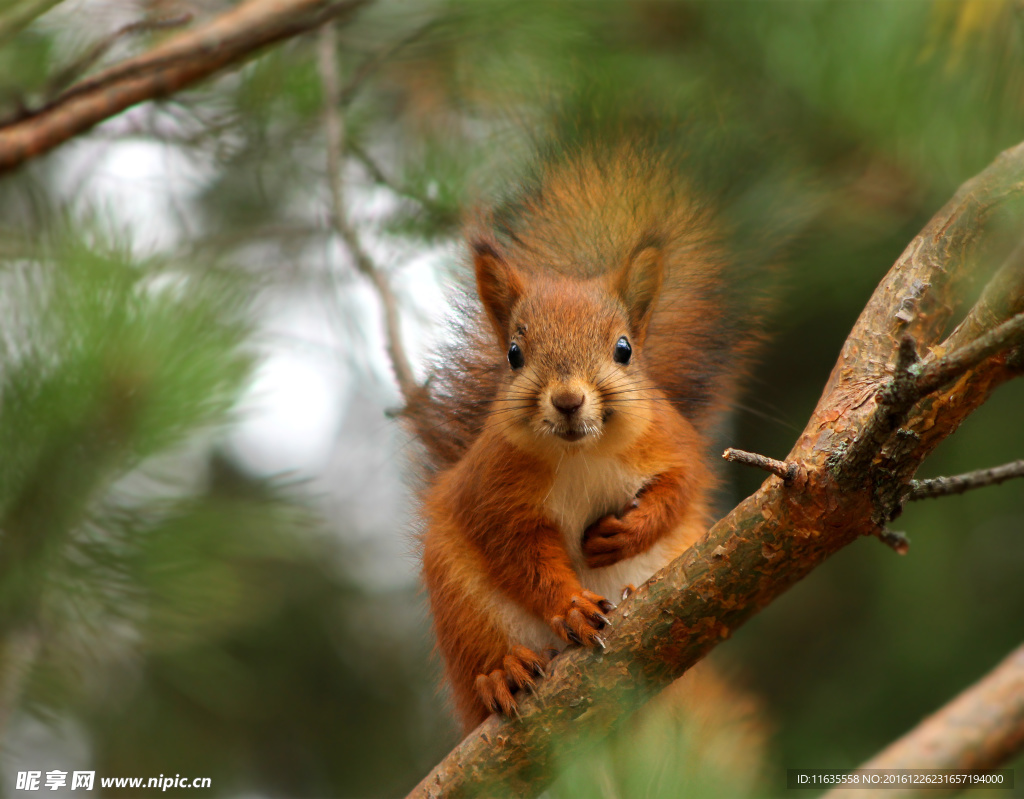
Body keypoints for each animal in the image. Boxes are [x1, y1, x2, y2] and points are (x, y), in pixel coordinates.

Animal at [409, 136, 761, 729]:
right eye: (514, 353)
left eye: (624, 349)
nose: (569, 400)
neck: (582, 453)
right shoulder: (496, 494)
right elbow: (523, 557)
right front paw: (570, 606)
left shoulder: (672, 442)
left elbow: (680, 487)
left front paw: (630, 530)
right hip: (462, 605)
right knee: (481, 668)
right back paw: (502, 674)